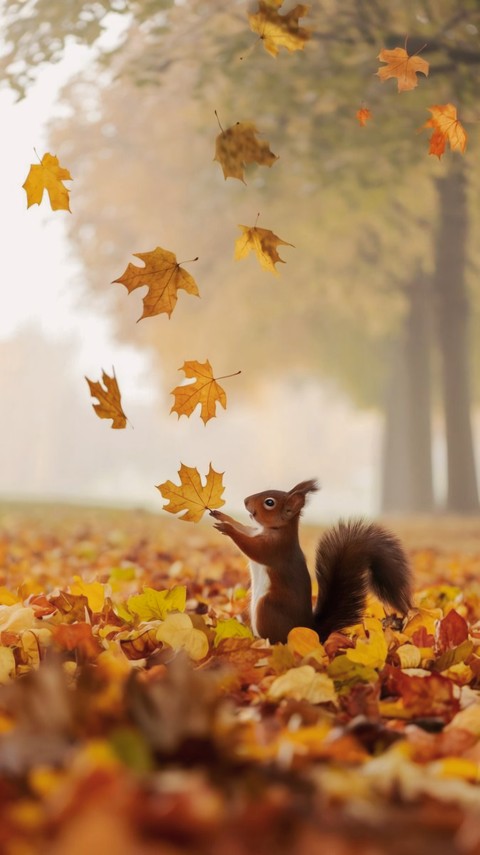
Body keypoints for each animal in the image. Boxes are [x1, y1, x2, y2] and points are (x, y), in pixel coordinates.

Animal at [210, 479, 412, 644]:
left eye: (270, 502)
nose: (245, 501)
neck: (275, 530)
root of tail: (310, 629)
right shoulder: (254, 531)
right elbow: (243, 528)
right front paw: (222, 516)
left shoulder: (276, 549)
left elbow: (251, 548)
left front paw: (228, 528)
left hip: (266, 608)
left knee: (275, 640)